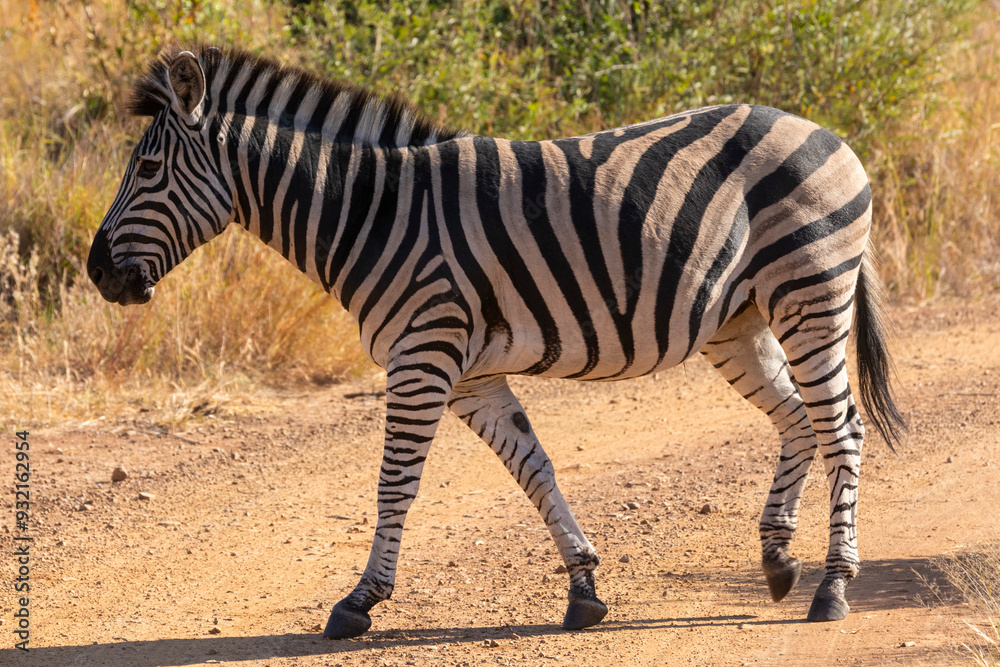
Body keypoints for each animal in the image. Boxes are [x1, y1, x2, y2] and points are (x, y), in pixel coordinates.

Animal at [87, 46, 905, 638]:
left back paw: (833, 587)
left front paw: (360, 601)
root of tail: (828, 135)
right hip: (740, 320)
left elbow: (394, 483)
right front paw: (584, 588)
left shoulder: (423, 355)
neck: (371, 213)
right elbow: (535, 470)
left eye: (148, 167)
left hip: (809, 291)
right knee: (798, 421)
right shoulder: (472, 375)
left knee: (843, 428)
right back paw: (776, 559)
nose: (97, 273)